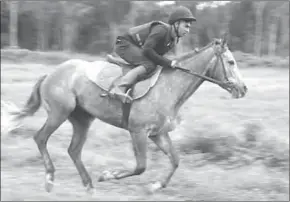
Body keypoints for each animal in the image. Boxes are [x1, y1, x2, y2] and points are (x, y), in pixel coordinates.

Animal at [6, 35, 247, 193]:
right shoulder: (138, 131)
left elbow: (175, 160)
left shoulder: (157, 134)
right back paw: (50, 178)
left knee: (73, 150)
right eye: (231, 62)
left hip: (82, 119)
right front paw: (108, 175)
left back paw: (88, 185)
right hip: (59, 112)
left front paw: (156, 186)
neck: (169, 87)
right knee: (40, 138)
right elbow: (141, 167)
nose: (243, 89)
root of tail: (50, 74)